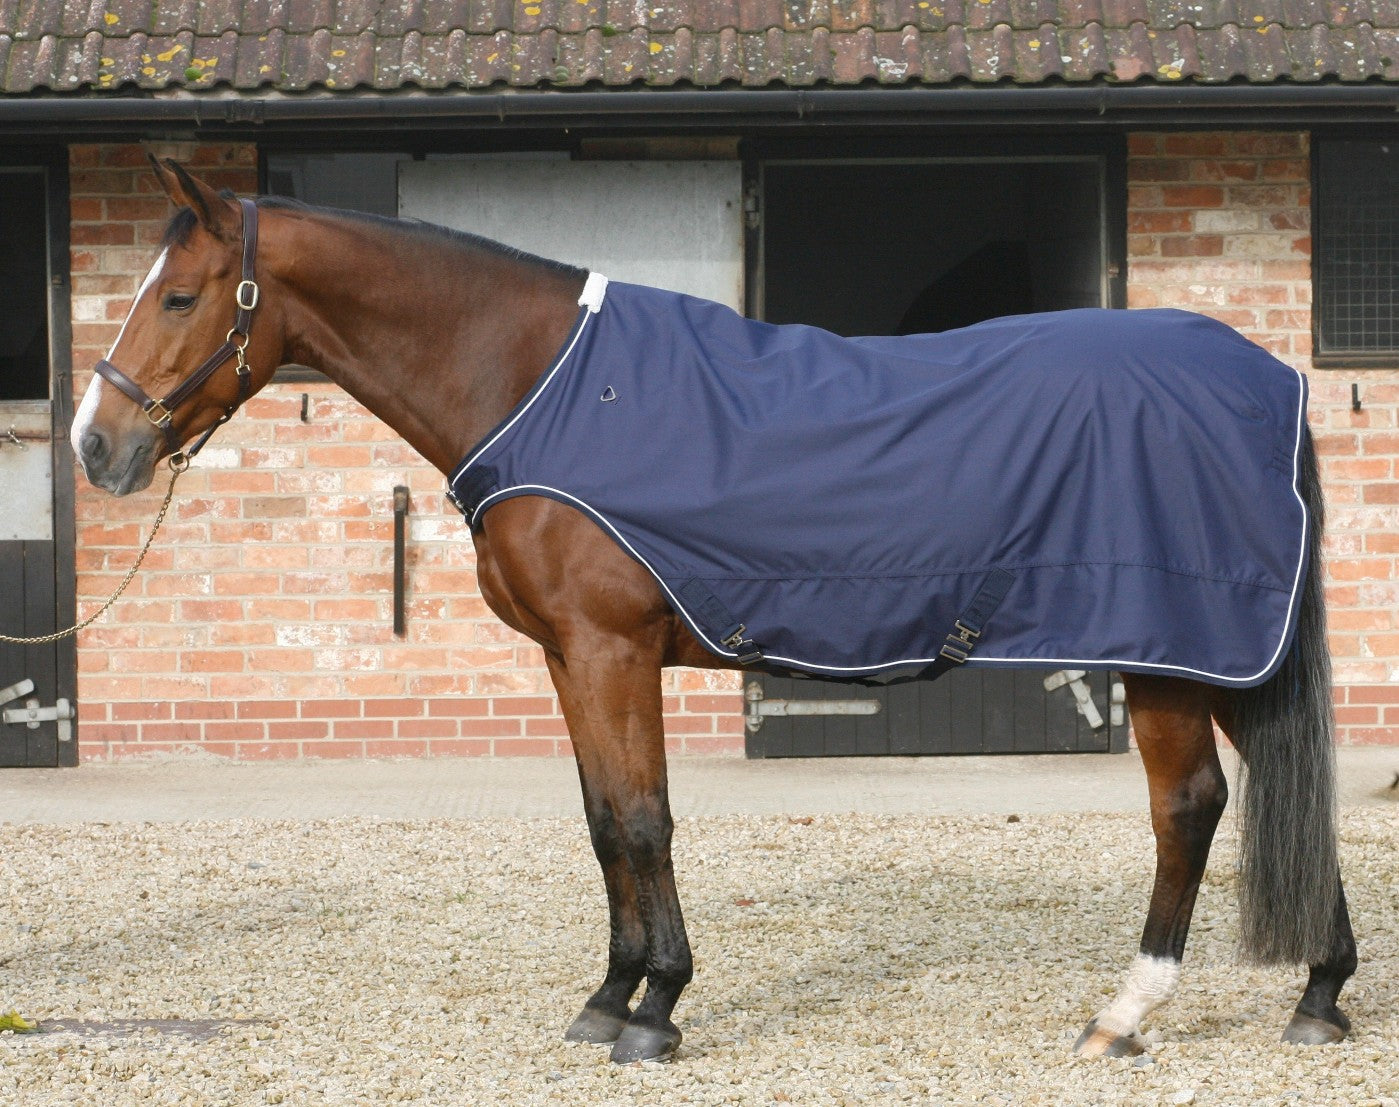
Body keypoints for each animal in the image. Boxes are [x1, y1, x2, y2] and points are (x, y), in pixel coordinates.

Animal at [68, 158, 1356, 1064]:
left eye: (178, 296)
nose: (96, 446)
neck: (539, 385)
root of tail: (1262, 377)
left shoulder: (612, 651)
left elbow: (644, 823)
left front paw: (657, 1010)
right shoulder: (569, 660)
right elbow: (603, 823)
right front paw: (607, 997)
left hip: (1170, 653)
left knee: (1189, 807)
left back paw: (1124, 1013)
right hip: (1226, 654)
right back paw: (1321, 992)